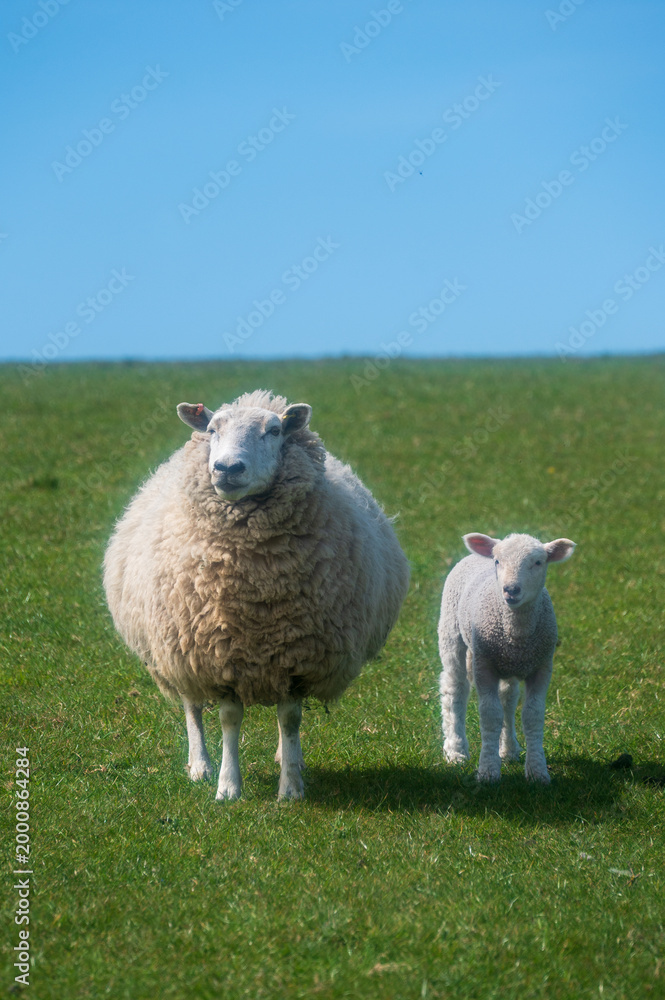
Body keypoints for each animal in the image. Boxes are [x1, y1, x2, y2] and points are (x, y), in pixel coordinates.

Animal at [103, 389, 409, 801]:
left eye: (274, 430)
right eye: (212, 429)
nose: (227, 468)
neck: (256, 587)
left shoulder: (297, 655)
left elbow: (290, 718)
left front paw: (291, 786)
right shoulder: (218, 654)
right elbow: (229, 720)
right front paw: (228, 786)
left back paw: (285, 756)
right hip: (178, 650)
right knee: (191, 705)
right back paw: (199, 764)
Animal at [438, 532, 575, 783]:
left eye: (538, 562)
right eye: (498, 561)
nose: (511, 590)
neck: (516, 632)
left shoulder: (542, 666)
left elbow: (532, 715)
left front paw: (537, 771)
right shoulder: (484, 665)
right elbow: (490, 714)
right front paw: (488, 771)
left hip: (507, 663)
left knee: (508, 699)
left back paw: (509, 749)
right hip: (451, 632)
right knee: (455, 690)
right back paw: (456, 750)